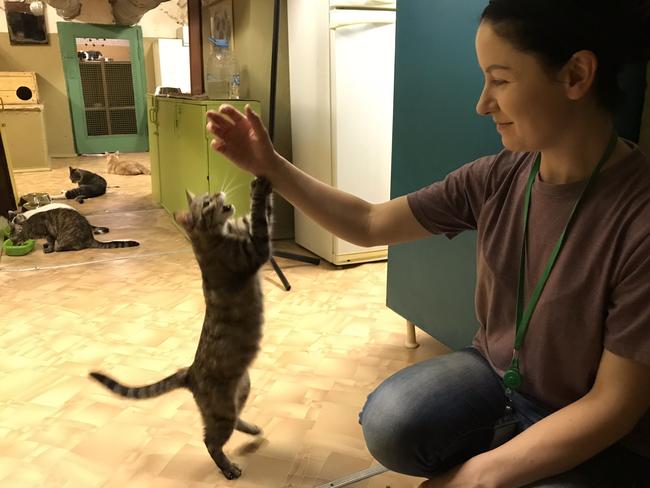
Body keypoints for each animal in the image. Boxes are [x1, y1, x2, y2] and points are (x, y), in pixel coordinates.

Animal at [8, 207, 138, 252]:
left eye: (13, 239)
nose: (13, 245)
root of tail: (90, 237)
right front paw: (45, 245)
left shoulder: (49, 233)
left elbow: (51, 242)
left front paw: (48, 249)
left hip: (65, 238)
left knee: (73, 247)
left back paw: (59, 248)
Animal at [88, 176, 270, 480]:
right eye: (206, 203)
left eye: (210, 195)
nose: (218, 193)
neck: (213, 238)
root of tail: (189, 372)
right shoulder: (254, 250)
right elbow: (260, 217)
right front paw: (262, 188)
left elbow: (258, 214)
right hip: (221, 410)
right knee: (210, 441)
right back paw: (228, 468)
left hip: (242, 388)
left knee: (232, 422)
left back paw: (252, 429)